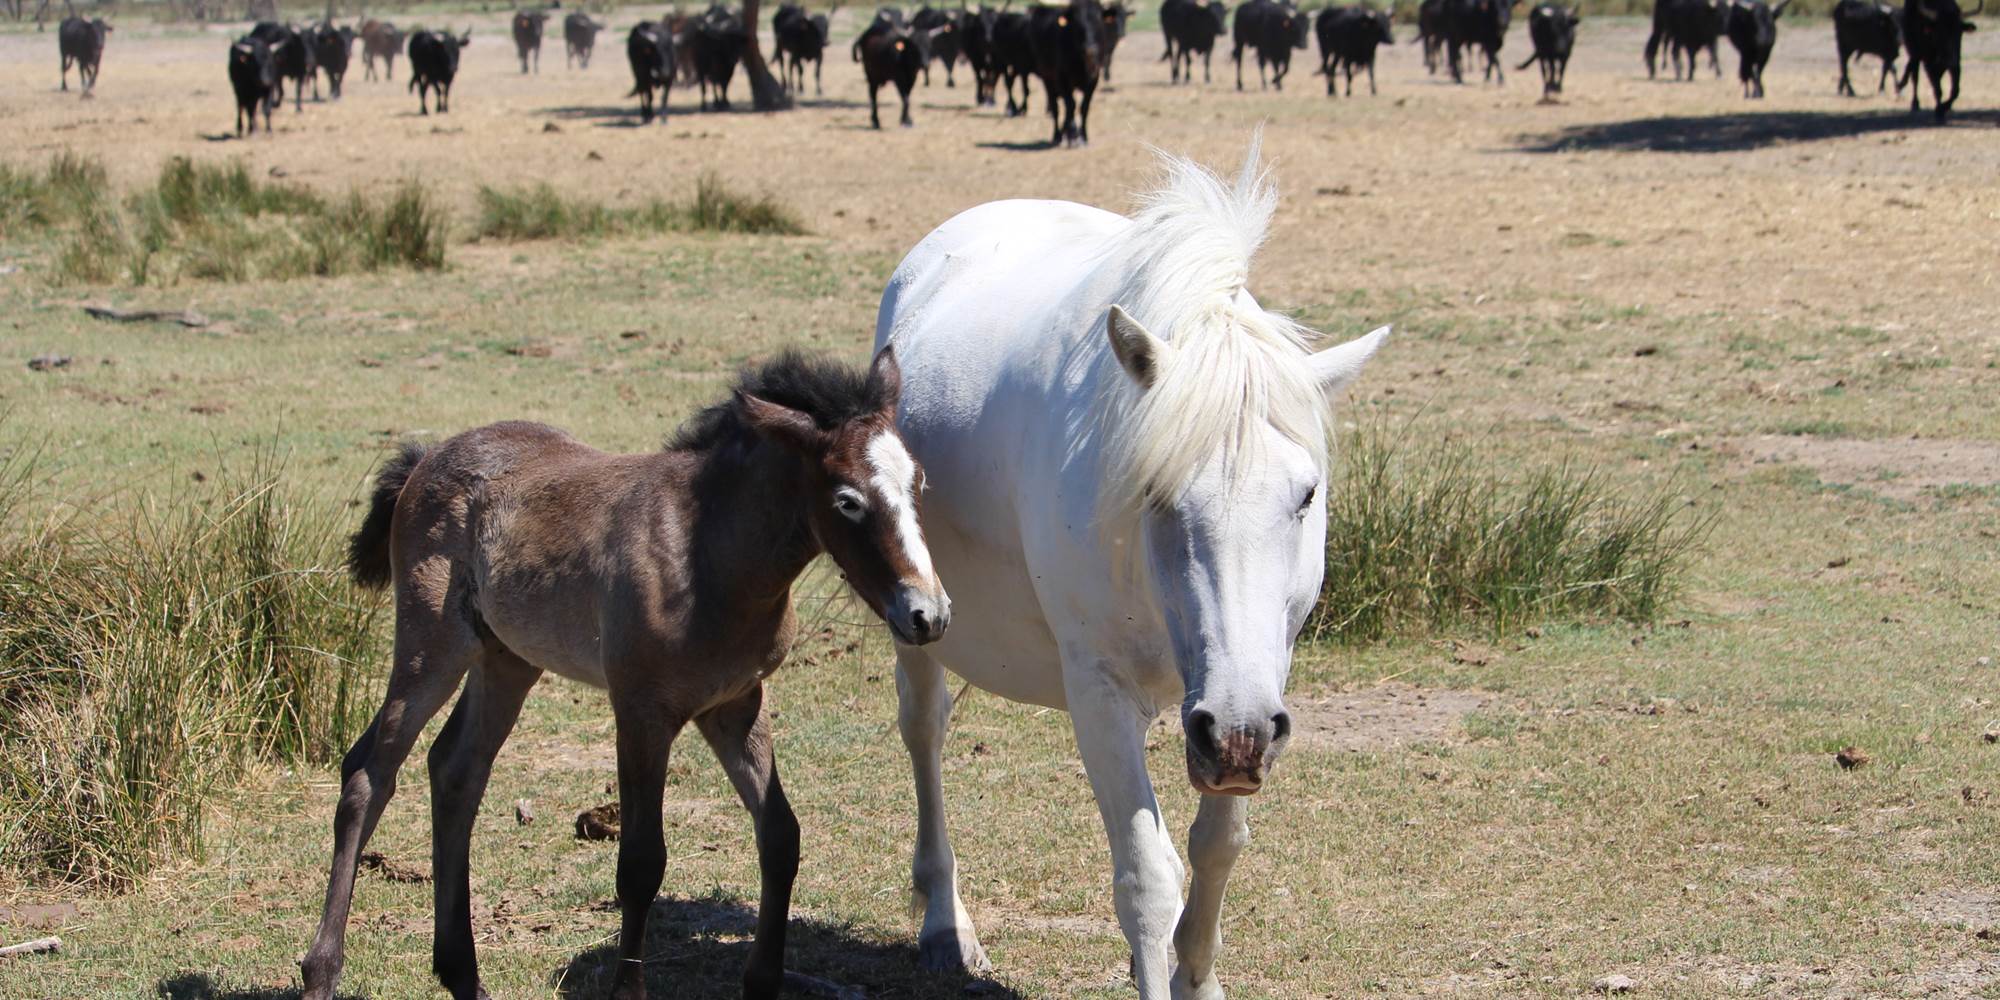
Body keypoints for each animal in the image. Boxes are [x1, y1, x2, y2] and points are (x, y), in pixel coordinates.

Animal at [299, 349, 950, 1000]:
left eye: (917, 483)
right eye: (847, 500)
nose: (929, 615)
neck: (706, 557)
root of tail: (425, 460)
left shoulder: (736, 704)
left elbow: (781, 836)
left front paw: (763, 981)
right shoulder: (641, 712)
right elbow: (641, 862)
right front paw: (628, 989)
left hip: (506, 658)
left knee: (455, 770)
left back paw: (462, 975)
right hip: (431, 645)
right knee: (369, 773)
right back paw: (321, 971)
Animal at [871, 139, 1387, 999]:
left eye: (1307, 493)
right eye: (1155, 492)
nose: (1236, 735)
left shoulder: (1256, 679)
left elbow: (1217, 848)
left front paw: (1199, 977)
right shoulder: (1100, 691)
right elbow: (1148, 879)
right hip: (919, 623)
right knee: (924, 734)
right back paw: (947, 924)